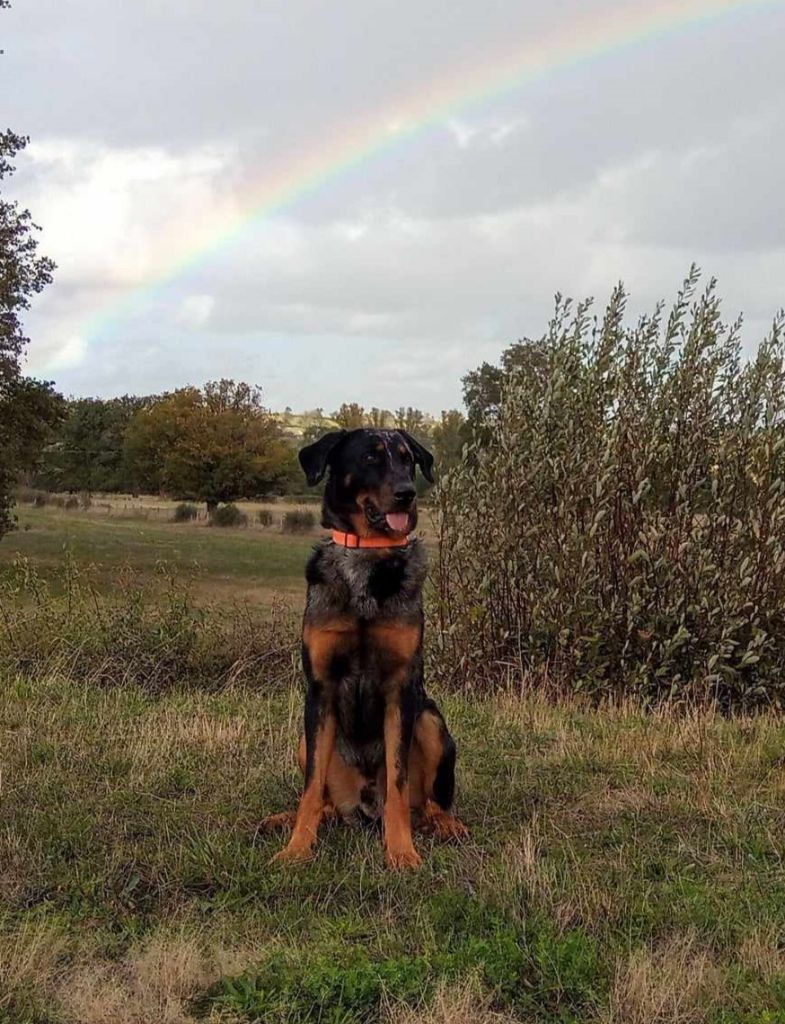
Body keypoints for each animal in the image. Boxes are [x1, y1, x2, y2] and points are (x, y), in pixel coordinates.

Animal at [266, 428, 470, 868]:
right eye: (371, 458)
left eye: (407, 459)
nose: (407, 493)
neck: (367, 557)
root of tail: (362, 806)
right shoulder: (320, 690)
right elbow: (310, 790)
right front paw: (296, 847)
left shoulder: (400, 690)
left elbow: (397, 781)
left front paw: (401, 852)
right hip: (305, 743)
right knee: (325, 800)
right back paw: (284, 819)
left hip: (431, 721)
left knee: (429, 802)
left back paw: (446, 825)